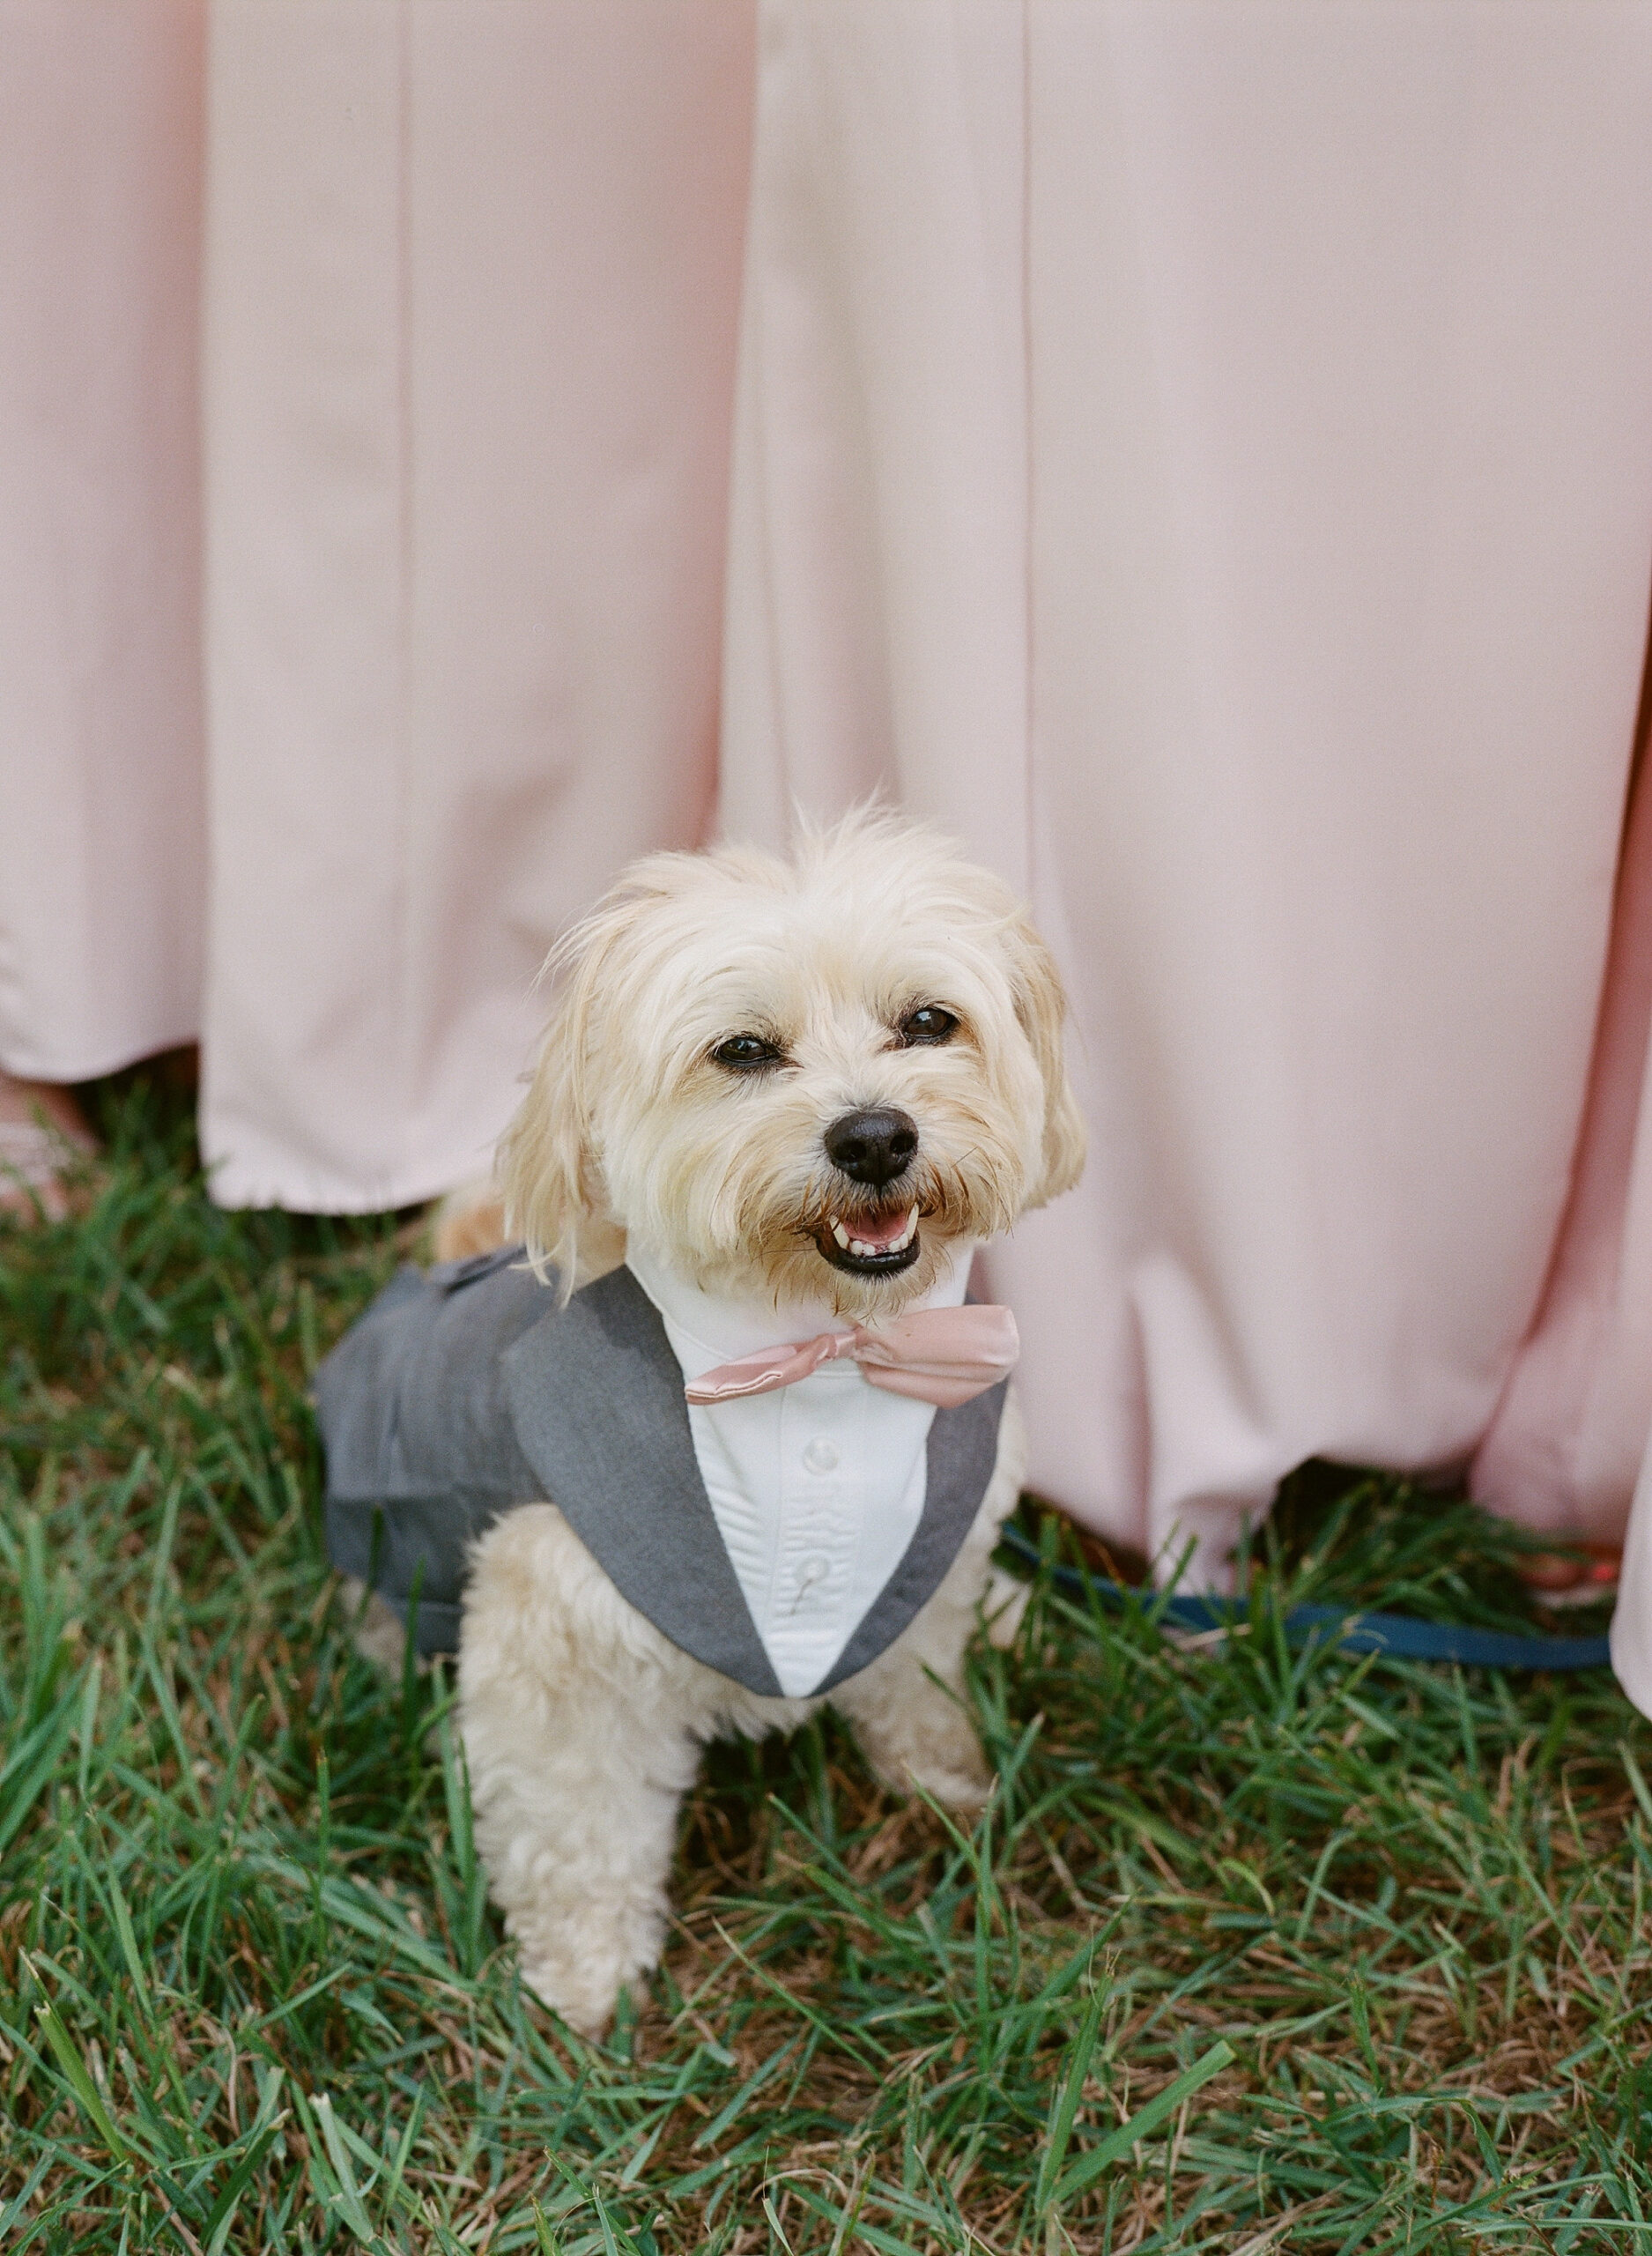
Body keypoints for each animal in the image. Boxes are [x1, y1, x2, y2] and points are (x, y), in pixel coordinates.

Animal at [314, 807, 1083, 2030]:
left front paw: (945, 1780)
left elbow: (914, 1671)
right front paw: (583, 1986)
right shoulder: (555, 1648)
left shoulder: (928, 1555)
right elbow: (577, 1826)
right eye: (745, 1052)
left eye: (928, 1021)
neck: (821, 1349)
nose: (876, 1137)